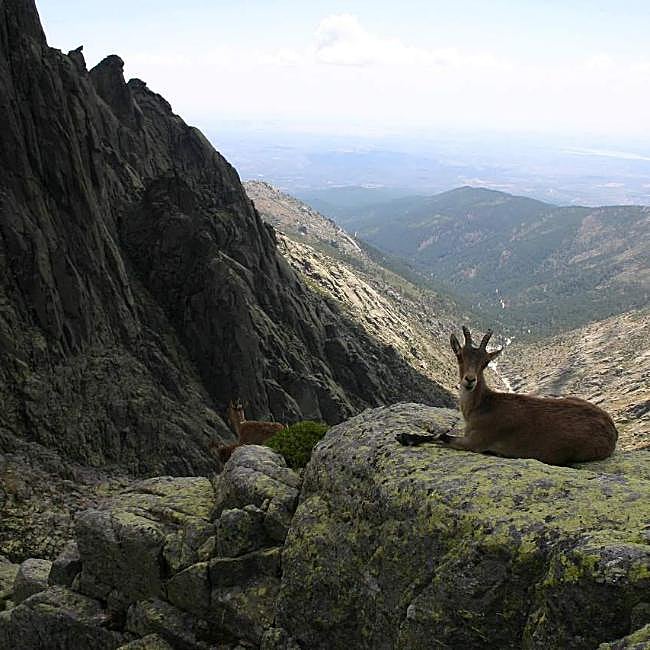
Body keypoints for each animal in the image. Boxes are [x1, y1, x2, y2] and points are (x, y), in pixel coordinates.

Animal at [398, 326, 618, 465]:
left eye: (485, 362)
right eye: (459, 356)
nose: (470, 380)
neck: (483, 405)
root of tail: (612, 430)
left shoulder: (476, 441)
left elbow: (442, 436)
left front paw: (406, 437)